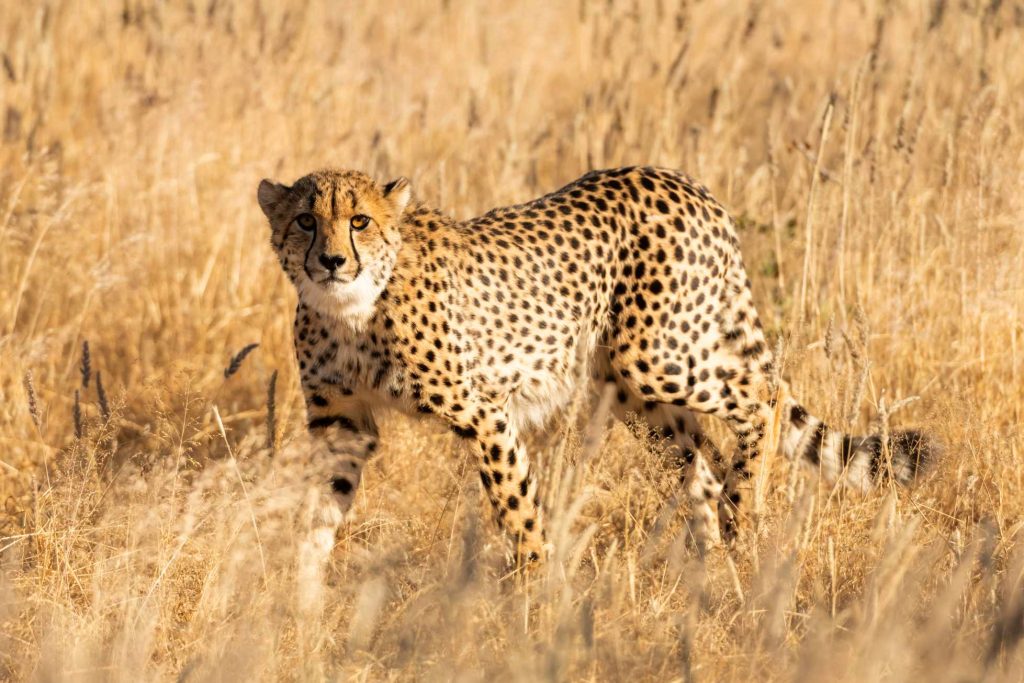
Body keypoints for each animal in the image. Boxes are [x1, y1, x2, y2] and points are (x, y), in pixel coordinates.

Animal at [256, 165, 934, 563]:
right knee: (702, 464)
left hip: (654, 356)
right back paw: (710, 566)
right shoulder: (342, 424)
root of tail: (679, 179)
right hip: (634, 389)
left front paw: (533, 595)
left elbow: (517, 512)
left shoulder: (485, 414)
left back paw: (744, 513)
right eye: (305, 220)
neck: (350, 310)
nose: (332, 261)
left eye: (360, 221)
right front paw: (302, 603)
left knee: (763, 395)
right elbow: (317, 512)